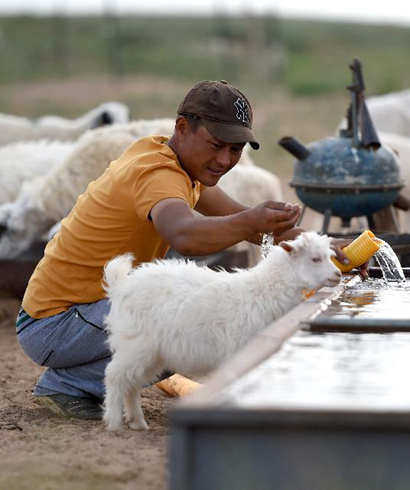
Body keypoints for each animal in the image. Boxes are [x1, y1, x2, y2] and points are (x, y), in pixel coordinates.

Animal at [103, 232, 342, 430]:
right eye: (315, 259)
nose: (338, 274)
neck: (264, 290)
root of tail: (120, 286)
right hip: (135, 343)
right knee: (114, 376)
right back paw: (114, 423)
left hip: (151, 353)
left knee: (132, 383)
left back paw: (137, 422)